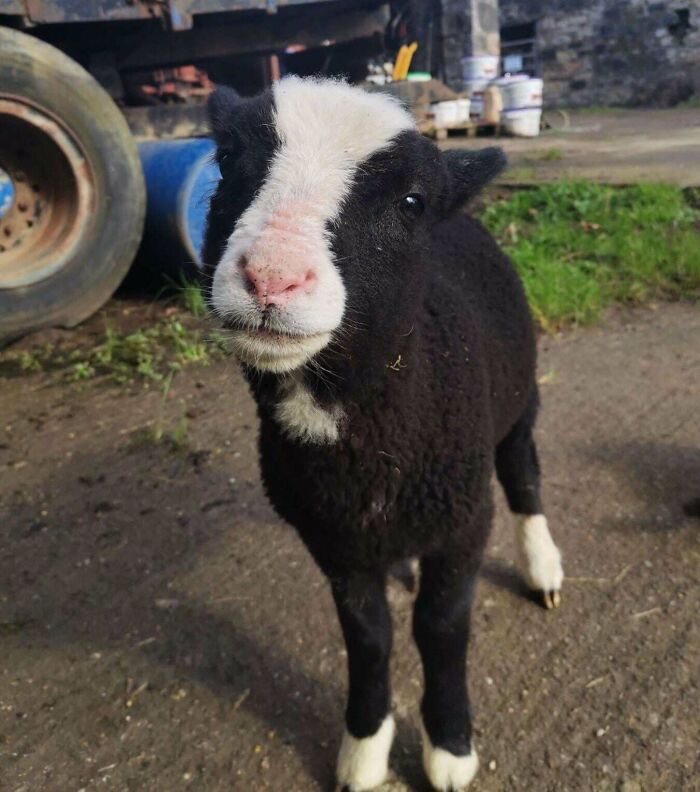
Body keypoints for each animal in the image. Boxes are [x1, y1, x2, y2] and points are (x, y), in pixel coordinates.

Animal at [201, 76, 564, 792]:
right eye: (226, 162)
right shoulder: (332, 542)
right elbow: (369, 638)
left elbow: (441, 628)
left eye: (411, 200)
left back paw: (543, 567)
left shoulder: (464, 518)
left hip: (517, 402)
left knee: (523, 474)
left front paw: (449, 746)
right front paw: (364, 748)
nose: (272, 278)